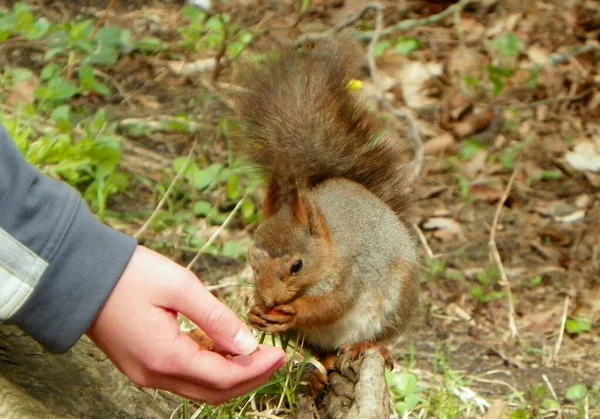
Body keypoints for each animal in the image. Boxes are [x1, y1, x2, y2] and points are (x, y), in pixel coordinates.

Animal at [232, 41, 420, 370]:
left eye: (297, 266)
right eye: (252, 262)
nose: (269, 301)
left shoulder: (350, 272)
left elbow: (332, 305)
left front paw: (294, 311)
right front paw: (255, 311)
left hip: (394, 304)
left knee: (375, 336)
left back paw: (365, 346)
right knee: (321, 351)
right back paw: (325, 366)